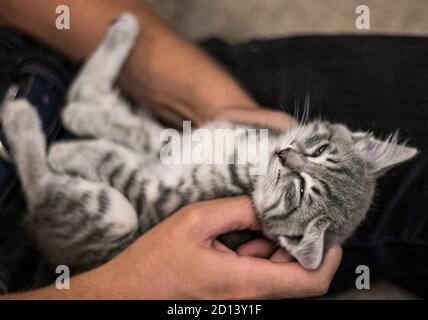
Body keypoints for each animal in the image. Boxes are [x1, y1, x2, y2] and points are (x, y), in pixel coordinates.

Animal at [1, 13, 418, 272]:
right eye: (318, 151)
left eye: (299, 191)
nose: (285, 156)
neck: (250, 156)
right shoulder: (182, 138)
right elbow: (139, 132)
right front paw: (82, 121)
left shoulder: (155, 195)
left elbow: (113, 159)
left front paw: (67, 148)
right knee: (87, 93)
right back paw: (121, 35)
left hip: (116, 219)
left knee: (44, 192)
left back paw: (24, 117)